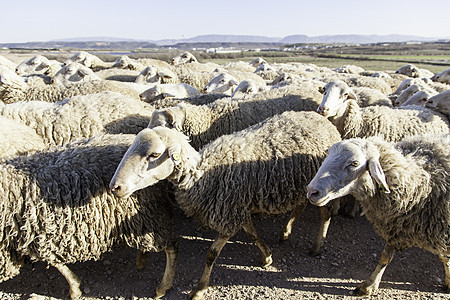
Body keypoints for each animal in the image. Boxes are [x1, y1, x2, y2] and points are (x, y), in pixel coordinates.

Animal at [0, 134, 178, 300]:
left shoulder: (35, 237)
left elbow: (57, 264)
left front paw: (74, 289)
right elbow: (56, 263)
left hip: (149, 214)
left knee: (171, 248)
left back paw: (163, 286)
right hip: (143, 218)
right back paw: (142, 260)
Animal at [110, 110, 342, 300]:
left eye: (155, 155)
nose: (115, 187)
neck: (203, 175)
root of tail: (322, 119)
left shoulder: (228, 216)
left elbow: (211, 254)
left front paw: (199, 289)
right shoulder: (236, 208)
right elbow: (252, 234)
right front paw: (267, 256)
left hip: (321, 187)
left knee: (325, 213)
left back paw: (317, 245)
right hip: (302, 185)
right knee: (300, 205)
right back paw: (286, 232)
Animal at [306, 135, 450, 296]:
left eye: (354, 163)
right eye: (327, 155)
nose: (311, 191)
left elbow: (444, 258)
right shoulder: (395, 227)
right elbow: (385, 257)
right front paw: (369, 285)